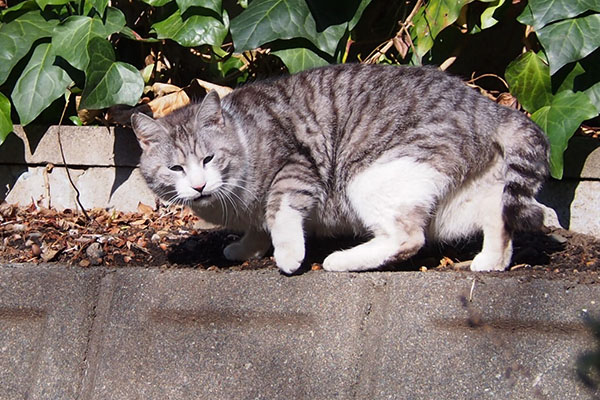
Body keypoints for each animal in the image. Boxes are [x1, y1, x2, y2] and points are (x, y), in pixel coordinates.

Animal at [130, 63, 548, 276]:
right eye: (176, 168)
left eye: (209, 159)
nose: (199, 186)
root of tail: (486, 105)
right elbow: (258, 226)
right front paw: (248, 247)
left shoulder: (295, 167)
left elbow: (278, 211)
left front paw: (287, 254)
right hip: (459, 201)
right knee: (500, 218)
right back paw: (491, 262)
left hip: (371, 177)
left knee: (408, 238)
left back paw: (340, 261)